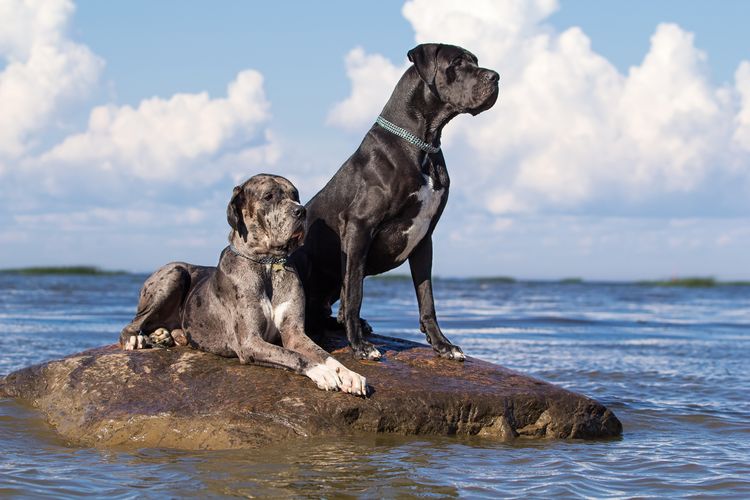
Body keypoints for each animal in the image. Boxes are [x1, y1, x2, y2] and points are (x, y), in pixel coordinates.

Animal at [292, 44, 500, 360]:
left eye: (475, 61)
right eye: (456, 63)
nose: (496, 76)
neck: (422, 143)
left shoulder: (425, 238)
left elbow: (427, 298)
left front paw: (442, 344)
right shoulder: (359, 226)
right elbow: (355, 292)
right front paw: (359, 346)